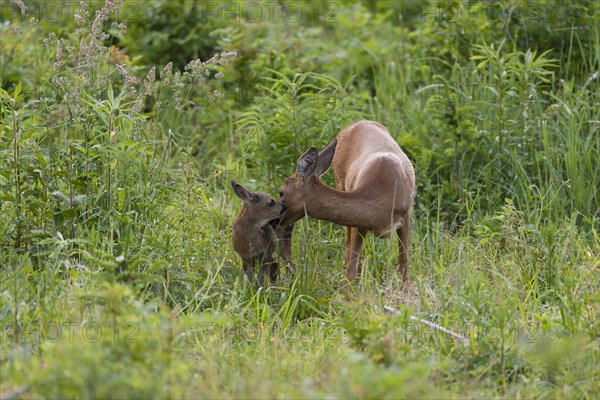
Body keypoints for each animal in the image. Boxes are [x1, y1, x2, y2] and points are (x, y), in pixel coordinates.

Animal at [278, 121, 414, 282]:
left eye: (281, 192)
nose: (277, 221)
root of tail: (358, 123)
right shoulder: (360, 223)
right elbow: (351, 270)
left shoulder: (406, 215)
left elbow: (404, 267)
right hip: (341, 183)